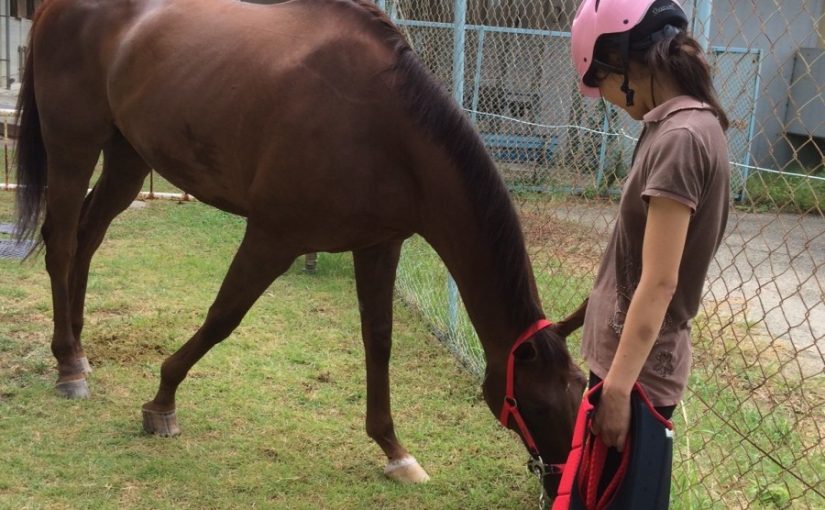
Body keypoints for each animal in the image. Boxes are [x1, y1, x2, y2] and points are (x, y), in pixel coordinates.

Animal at [14, 0, 587, 500]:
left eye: (581, 392)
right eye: (536, 405)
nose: (563, 482)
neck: (385, 128)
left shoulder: (379, 245)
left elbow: (378, 339)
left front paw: (394, 450)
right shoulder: (273, 237)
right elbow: (223, 317)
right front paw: (162, 399)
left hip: (128, 156)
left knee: (88, 237)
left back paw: (79, 348)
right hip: (73, 147)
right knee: (61, 244)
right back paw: (67, 366)